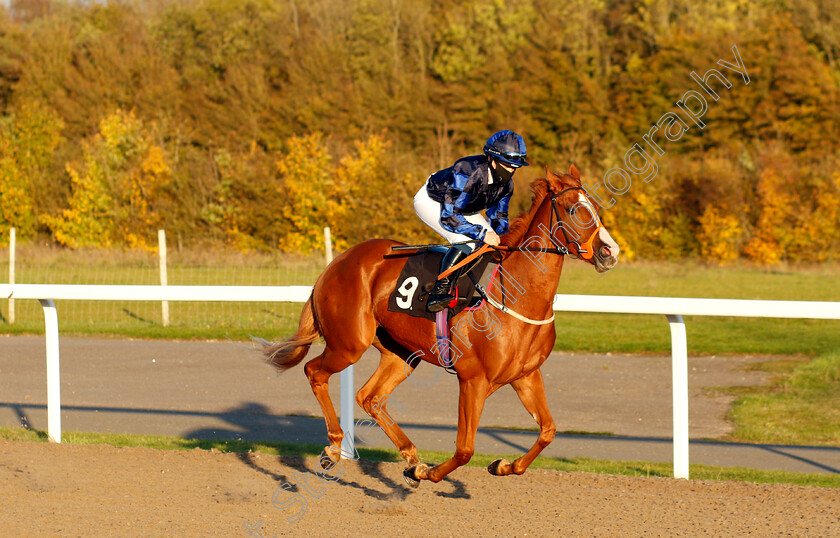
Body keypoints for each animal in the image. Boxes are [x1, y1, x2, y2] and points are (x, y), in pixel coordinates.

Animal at [266, 162, 620, 482]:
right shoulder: (473, 379)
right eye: (574, 209)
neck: (517, 298)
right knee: (314, 372)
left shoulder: (526, 376)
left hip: (402, 354)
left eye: (595, 207)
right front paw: (430, 473)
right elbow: (464, 449)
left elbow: (548, 430)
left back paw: (410, 455)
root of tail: (337, 263)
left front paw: (504, 465)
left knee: (370, 396)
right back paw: (334, 449)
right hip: (348, 344)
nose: (610, 251)